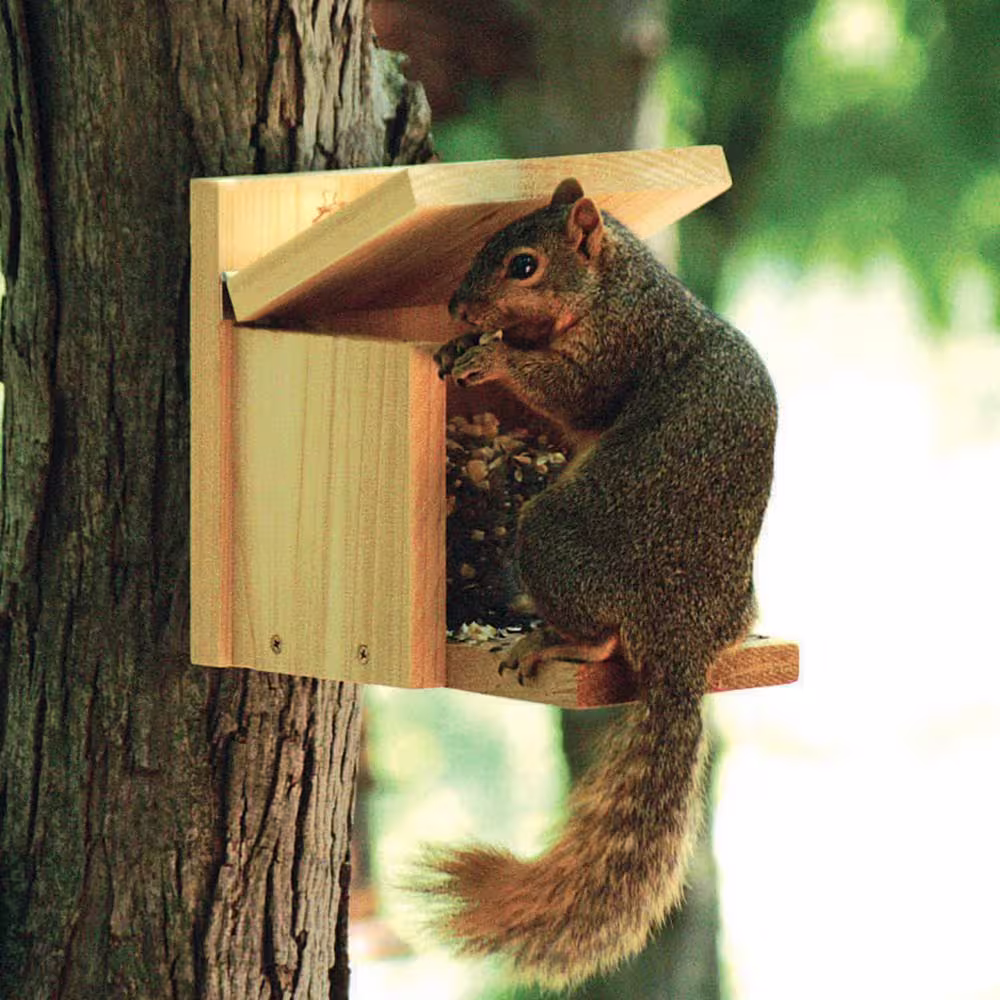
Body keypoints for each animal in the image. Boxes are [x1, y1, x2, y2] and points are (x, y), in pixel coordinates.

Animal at [424, 177, 777, 990]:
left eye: (523, 264)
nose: (458, 306)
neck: (621, 284)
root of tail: (684, 640)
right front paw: (460, 346)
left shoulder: (619, 347)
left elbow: (574, 392)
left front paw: (493, 356)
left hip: (551, 534)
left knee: (601, 635)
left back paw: (551, 644)